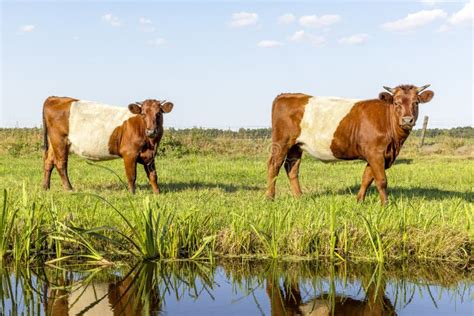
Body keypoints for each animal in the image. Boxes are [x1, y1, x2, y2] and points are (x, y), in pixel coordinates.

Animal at [42, 96, 174, 194]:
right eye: (143, 114)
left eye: (158, 113)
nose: (151, 131)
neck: (151, 144)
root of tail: (54, 98)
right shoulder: (130, 154)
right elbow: (132, 175)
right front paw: (132, 194)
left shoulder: (150, 156)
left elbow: (153, 175)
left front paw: (157, 193)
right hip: (60, 141)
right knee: (61, 164)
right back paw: (69, 188)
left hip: (53, 143)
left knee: (48, 162)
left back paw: (45, 187)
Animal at [264, 83, 436, 205]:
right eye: (396, 103)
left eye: (416, 102)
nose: (407, 120)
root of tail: (286, 95)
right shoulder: (375, 153)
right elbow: (381, 180)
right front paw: (385, 205)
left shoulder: (376, 155)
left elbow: (367, 178)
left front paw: (359, 201)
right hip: (281, 142)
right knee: (274, 165)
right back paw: (270, 198)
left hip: (296, 146)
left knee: (292, 168)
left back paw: (300, 197)